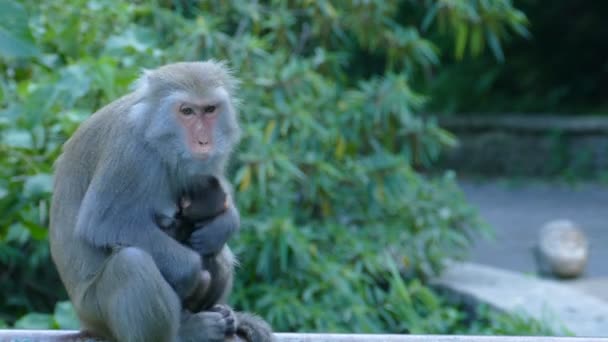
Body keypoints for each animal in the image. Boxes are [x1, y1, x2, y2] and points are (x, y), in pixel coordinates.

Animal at [50, 62, 274, 342]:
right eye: (186, 111)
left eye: (209, 110)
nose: (204, 141)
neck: (154, 135)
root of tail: (85, 323)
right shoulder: (130, 153)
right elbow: (103, 223)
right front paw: (193, 270)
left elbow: (219, 201)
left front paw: (221, 226)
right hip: (95, 312)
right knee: (131, 264)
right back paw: (187, 331)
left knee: (217, 251)